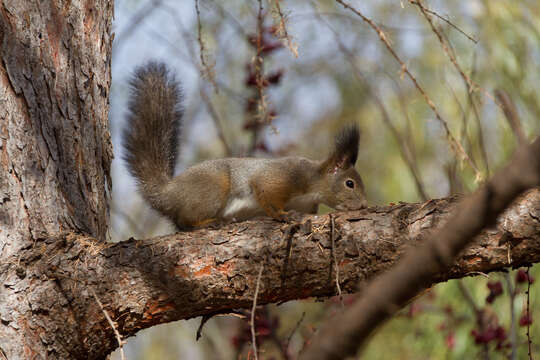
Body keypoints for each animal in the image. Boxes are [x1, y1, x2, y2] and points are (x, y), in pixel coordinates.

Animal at [122, 61, 368, 231]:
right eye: (350, 184)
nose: (365, 205)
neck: (313, 183)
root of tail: (168, 192)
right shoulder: (285, 176)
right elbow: (266, 192)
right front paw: (281, 215)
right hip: (211, 188)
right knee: (186, 221)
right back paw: (211, 222)